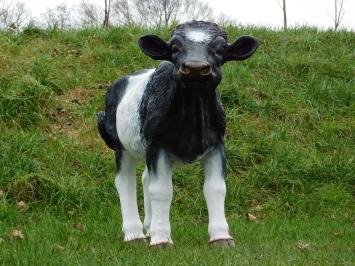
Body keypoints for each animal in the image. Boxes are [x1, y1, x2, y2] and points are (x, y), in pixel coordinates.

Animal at [97, 21, 258, 247]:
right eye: (174, 48)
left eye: (220, 49)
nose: (196, 68)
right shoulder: (158, 145)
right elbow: (162, 189)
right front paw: (161, 240)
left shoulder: (217, 144)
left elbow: (216, 188)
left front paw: (221, 237)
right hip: (121, 146)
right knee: (125, 182)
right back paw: (135, 235)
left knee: (145, 179)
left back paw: (148, 228)